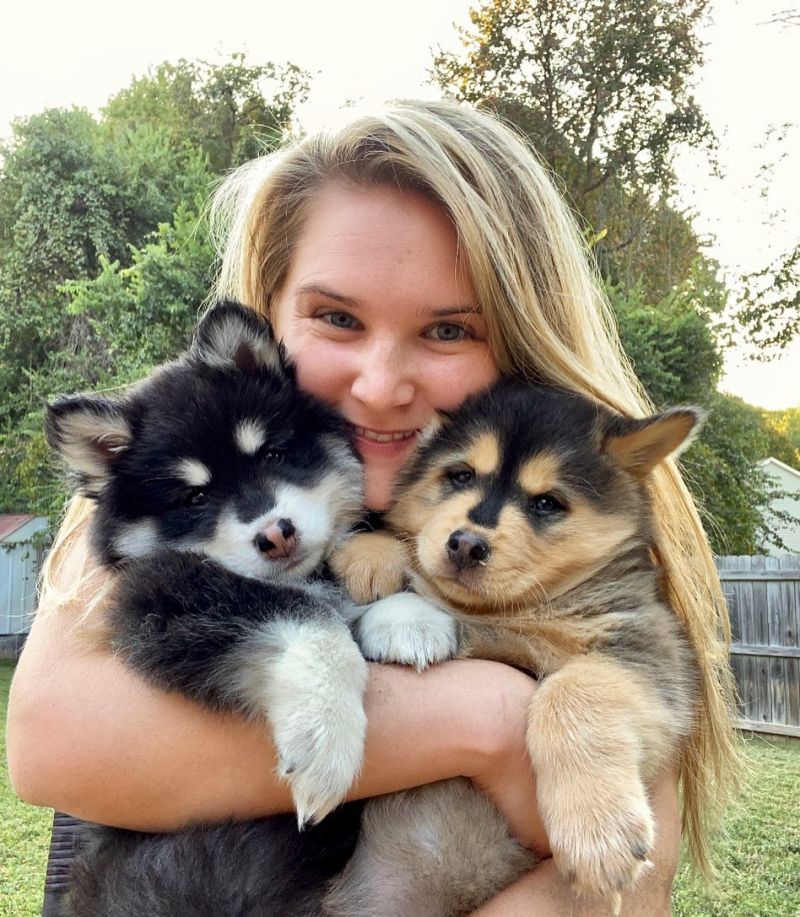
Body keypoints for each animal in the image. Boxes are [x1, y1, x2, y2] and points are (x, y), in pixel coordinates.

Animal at [336, 378, 700, 908]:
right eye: (460, 475)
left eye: (546, 503)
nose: (466, 544)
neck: (517, 612)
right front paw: (374, 560)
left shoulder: (649, 655)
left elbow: (572, 690)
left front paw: (598, 833)